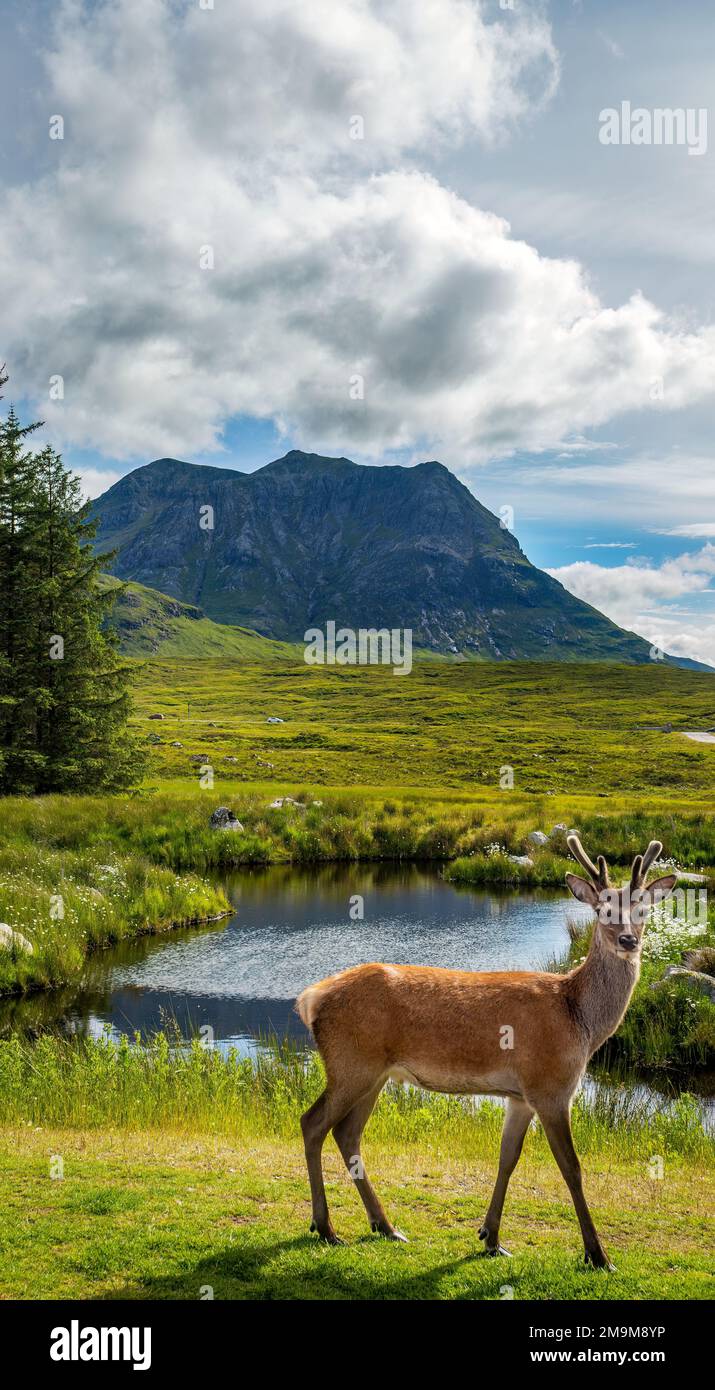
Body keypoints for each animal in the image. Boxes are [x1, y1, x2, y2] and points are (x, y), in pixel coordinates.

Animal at [294, 834, 673, 1273]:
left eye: (643, 908)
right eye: (602, 908)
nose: (629, 940)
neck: (579, 1020)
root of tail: (311, 998)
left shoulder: (519, 1097)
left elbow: (508, 1158)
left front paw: (491, 1238)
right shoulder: (551, 1086)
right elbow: (572, 1167)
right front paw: (598, 1255)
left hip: (374, 1074)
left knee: (347, 1134)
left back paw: (385, 1226)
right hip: (350, 1063)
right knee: (312, 1123)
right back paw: (325, 1227)